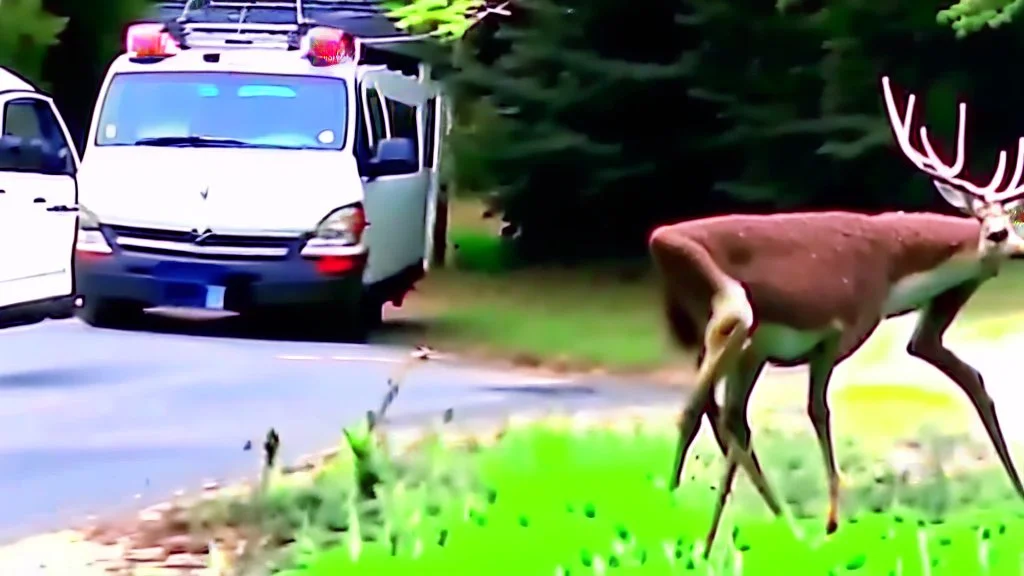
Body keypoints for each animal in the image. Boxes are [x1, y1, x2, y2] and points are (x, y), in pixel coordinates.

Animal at [647, 73, 1024, 553]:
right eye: (995, 232)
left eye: (1015, 224)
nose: (1018, 248)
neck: (891, 274)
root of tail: (659, 240)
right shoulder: (838, 330)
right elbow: (818, 411)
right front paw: (831, 522)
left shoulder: (784, 348)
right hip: (733, 310)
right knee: (700, 405)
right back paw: (682, 518)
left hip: (737, 344)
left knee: (725, 417)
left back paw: (755, 525)